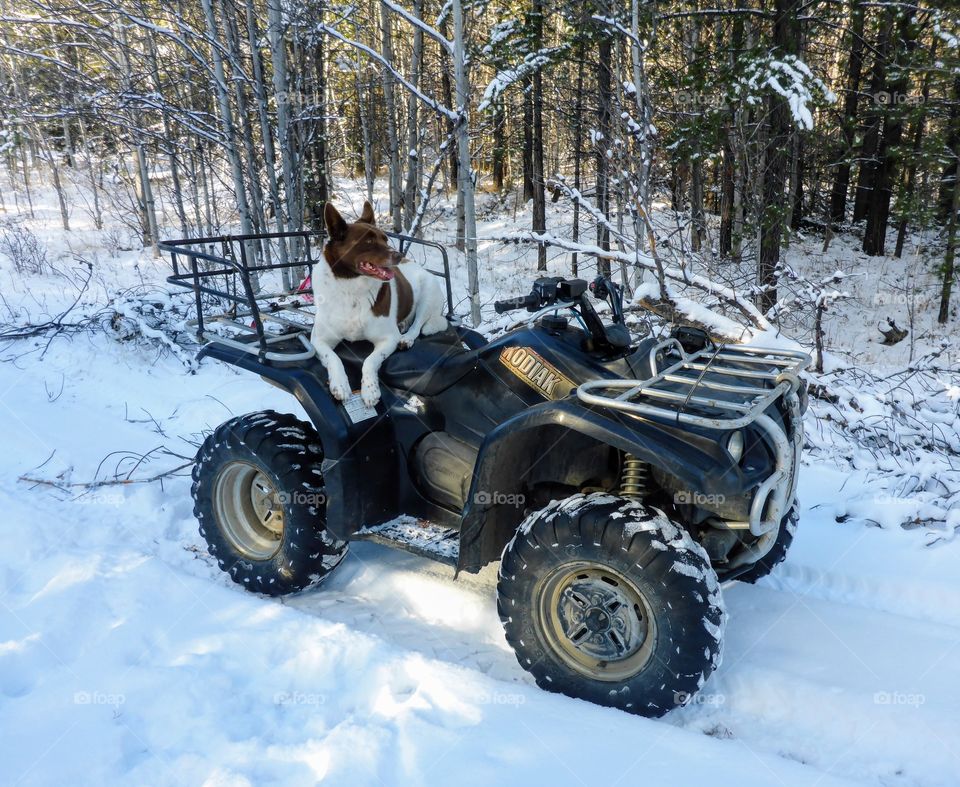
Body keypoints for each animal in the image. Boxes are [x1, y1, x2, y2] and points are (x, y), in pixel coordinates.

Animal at [312, 200, 450, 410]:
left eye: (385, 239)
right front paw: (340, 384)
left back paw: (407, 337)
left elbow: (369, 361)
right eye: (368, 241)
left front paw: (370, 390)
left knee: (418, 325)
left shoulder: (388, 338)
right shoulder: (318, 339)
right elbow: (333, 358)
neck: (351, 289)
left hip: (428, 294)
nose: (399, 255)